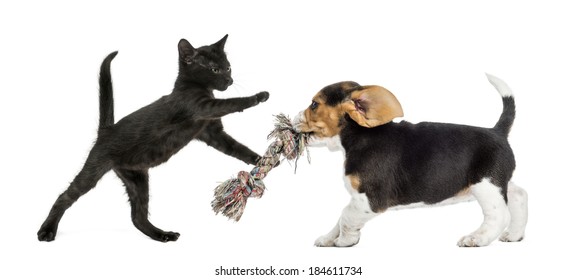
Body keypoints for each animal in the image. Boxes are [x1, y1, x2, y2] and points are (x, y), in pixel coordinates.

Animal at [39, 34, 268, 241]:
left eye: (228, 67)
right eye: (214, 70)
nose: (229, 80)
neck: (195, 88)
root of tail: (106, 129)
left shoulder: (212, 133)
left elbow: (237, 148)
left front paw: (260, 160)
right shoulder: (202, 107)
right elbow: (231, 103)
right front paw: (257, 97)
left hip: (137, 180)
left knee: (137, 217)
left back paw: (161, 235)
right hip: (94, 169)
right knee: (65, 196)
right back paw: (47, 230)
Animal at [294, 74, 528, 247]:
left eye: (314, 104)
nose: (294, 118)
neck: (359, 136)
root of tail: (497, 131)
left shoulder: (370, 200)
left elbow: (345, 215)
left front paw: (345, 240)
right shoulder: (358, 198)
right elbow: (339, 218)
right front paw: (328, 238)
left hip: (486, 185)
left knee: (498, 215)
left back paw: (476, 238)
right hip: (496, 183)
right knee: (519, 195)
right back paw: (514, 234)